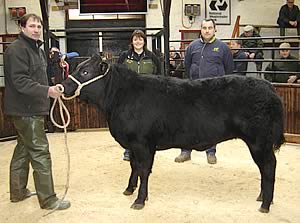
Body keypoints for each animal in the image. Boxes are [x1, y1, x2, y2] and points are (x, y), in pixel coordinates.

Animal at [60, 55, 284, 213]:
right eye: (77, 68)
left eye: (85, 71)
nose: (62, 86)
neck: (120, 98)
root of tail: (268, 87)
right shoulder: (133, 144)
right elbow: (134, 167)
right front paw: (129, 189)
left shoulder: (143, 143)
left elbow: (143, 170)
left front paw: (139, 200)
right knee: (265, 169)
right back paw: (262, 197)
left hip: (259, 142)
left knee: (269, 167)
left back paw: (265, 204)